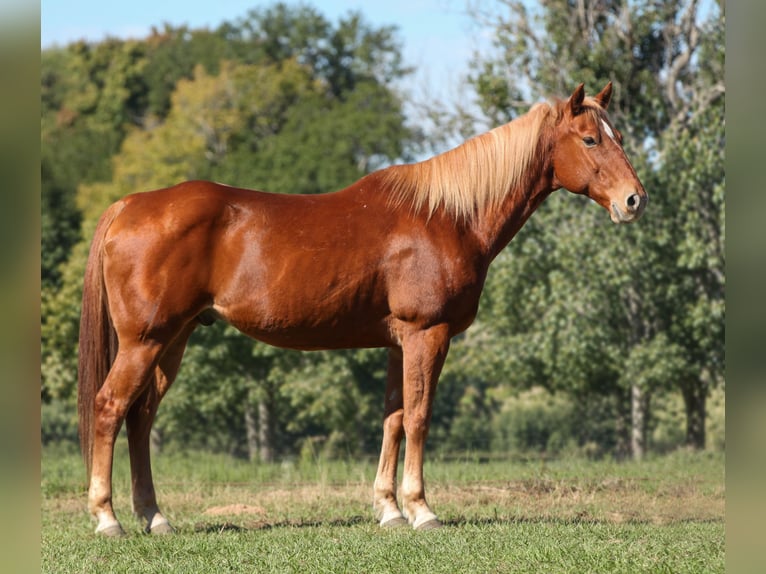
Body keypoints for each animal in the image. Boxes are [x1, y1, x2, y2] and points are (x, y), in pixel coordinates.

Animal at [77, 82, 646, 536]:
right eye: (591, 139)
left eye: (618, 135)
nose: (634, 200)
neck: (447, 216)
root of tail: (129, 205)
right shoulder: (427, 333)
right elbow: (418, 416)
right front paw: (422, 510)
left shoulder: (399, 342)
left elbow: (392, 417)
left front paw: (390, 510)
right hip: (145, 342)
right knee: (109, 408)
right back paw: (108, 519)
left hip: (173, 342)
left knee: (140, 418)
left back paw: (155, 518)